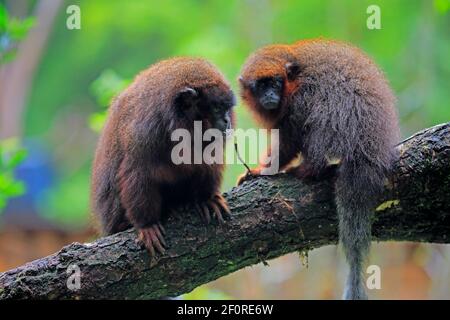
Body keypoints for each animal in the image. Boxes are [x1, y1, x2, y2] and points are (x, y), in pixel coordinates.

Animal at [89, 57, 234, 256]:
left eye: (227, 108)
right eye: (218, 108)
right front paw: (147, 225)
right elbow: (137, 174)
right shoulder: (144, 134)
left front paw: (206, 198)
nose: (227, 121)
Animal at [239, 39, 400, 298]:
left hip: (339, 122)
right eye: (261, 86)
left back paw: (309, 169)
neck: (294, 78)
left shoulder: (298, 100)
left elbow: (289, 141)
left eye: (275, 83)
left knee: (318, 117)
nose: (271, 95)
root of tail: (367, 145)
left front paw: (260, 170)